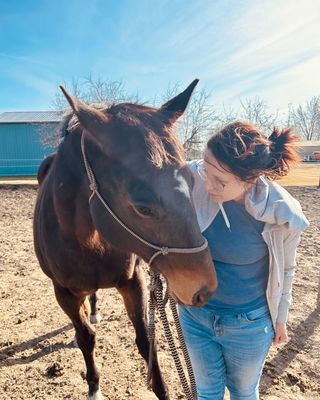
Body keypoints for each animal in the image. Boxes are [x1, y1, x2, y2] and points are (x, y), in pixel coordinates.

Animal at [33, 79, 216, 398]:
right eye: (142, 205)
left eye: (193, 182)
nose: (204, 289)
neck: (87, 242)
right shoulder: (63, 293)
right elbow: (86, 338)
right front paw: (94, 386)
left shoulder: (134, 282)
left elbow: (146, 343)